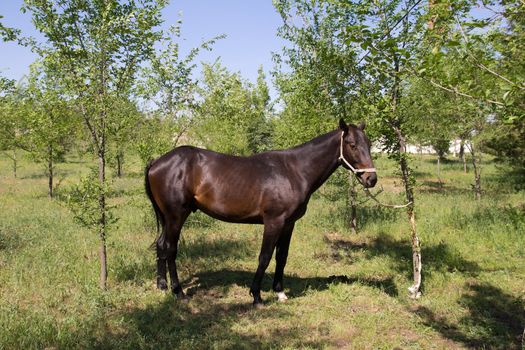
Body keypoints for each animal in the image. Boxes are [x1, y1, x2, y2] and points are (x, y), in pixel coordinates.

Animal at [143, 119, 376, 304]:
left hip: (167, 217)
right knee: (170, 249)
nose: (371, 179)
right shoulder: (274, 222)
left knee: (161, 246)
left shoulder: (289, 223)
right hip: (176, 216)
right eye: (352, 145)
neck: (294, 171)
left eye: (369, 144)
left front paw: (280, 293)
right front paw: (256, 296)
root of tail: (157, 162)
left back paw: (162, 286)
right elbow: (264, 257)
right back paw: (178, 291)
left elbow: (281, 256)